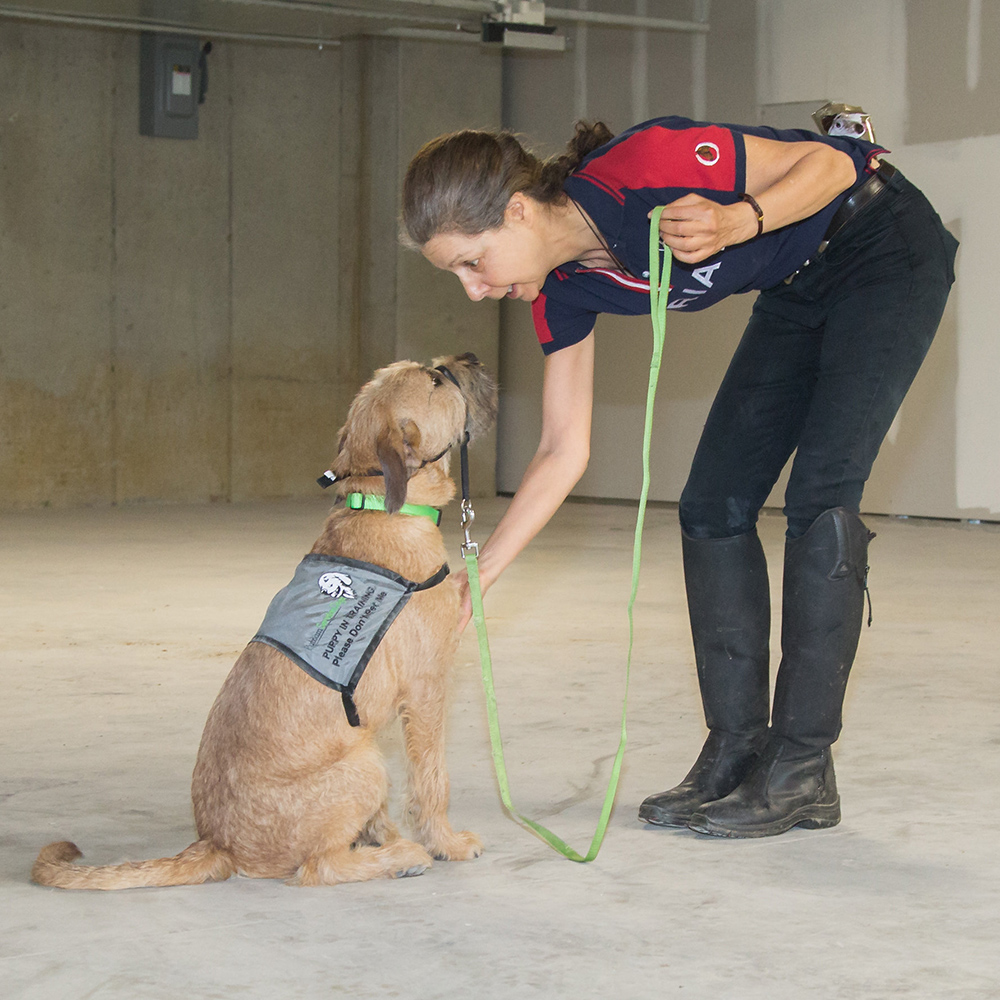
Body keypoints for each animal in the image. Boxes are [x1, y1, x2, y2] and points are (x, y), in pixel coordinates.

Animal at [32, 354, 500, 892]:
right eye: (435, 380)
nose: (470, 358)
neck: (382, 506)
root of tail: (217, 844)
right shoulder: (425, 692)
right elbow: (431, 779)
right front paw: (445, 842)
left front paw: (387, 833)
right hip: (363, 765)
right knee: (318, 868)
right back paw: (401, 857)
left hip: (363, 756)